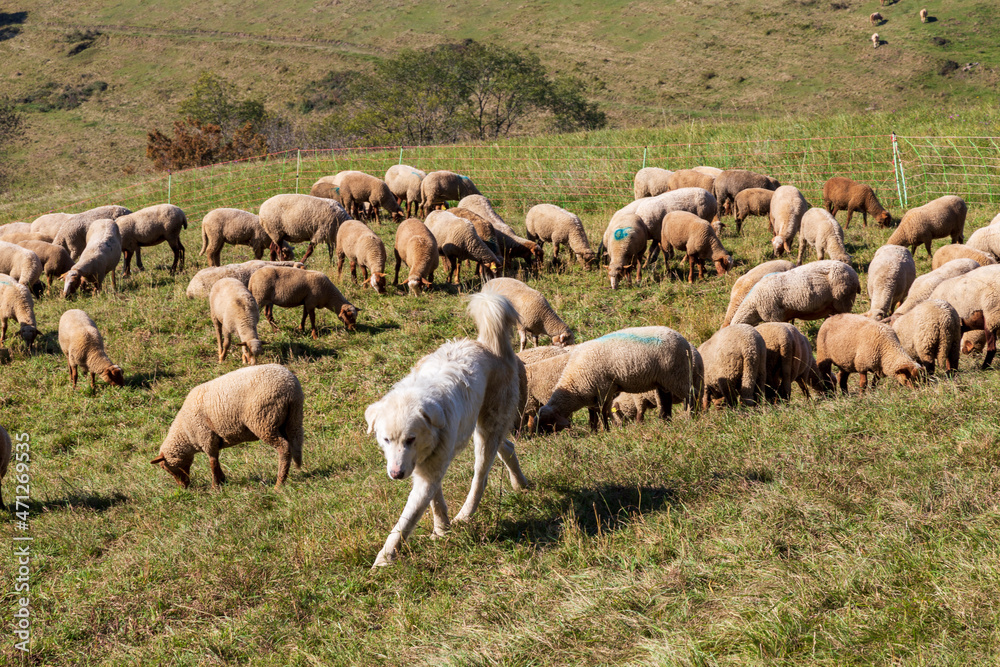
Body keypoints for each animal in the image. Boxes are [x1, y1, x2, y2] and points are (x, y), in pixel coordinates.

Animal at [151, 364, 304, 490]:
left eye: (167, 468)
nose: (183, 487)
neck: (185, 433)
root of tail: (291, 386)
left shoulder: (207, 438)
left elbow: (213, 463)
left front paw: (215, 486)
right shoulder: (212, 440)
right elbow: (216, 462)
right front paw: (222, 481)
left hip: (265, 420)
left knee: (284, 448)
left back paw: (279, 484)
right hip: (293, 418)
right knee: (295, 444)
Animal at [535, 326, 702, 431]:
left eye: (544, 423)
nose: (536, 438)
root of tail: (684, 341)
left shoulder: (603, 389)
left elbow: (602, 412)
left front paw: (605, 431)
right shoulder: (595, 393)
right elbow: (593, 414)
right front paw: (594, 432)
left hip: (676, 375)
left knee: (692, 395)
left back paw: (692, 417)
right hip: (664, 380)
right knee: (666, 402)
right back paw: (665, 422)